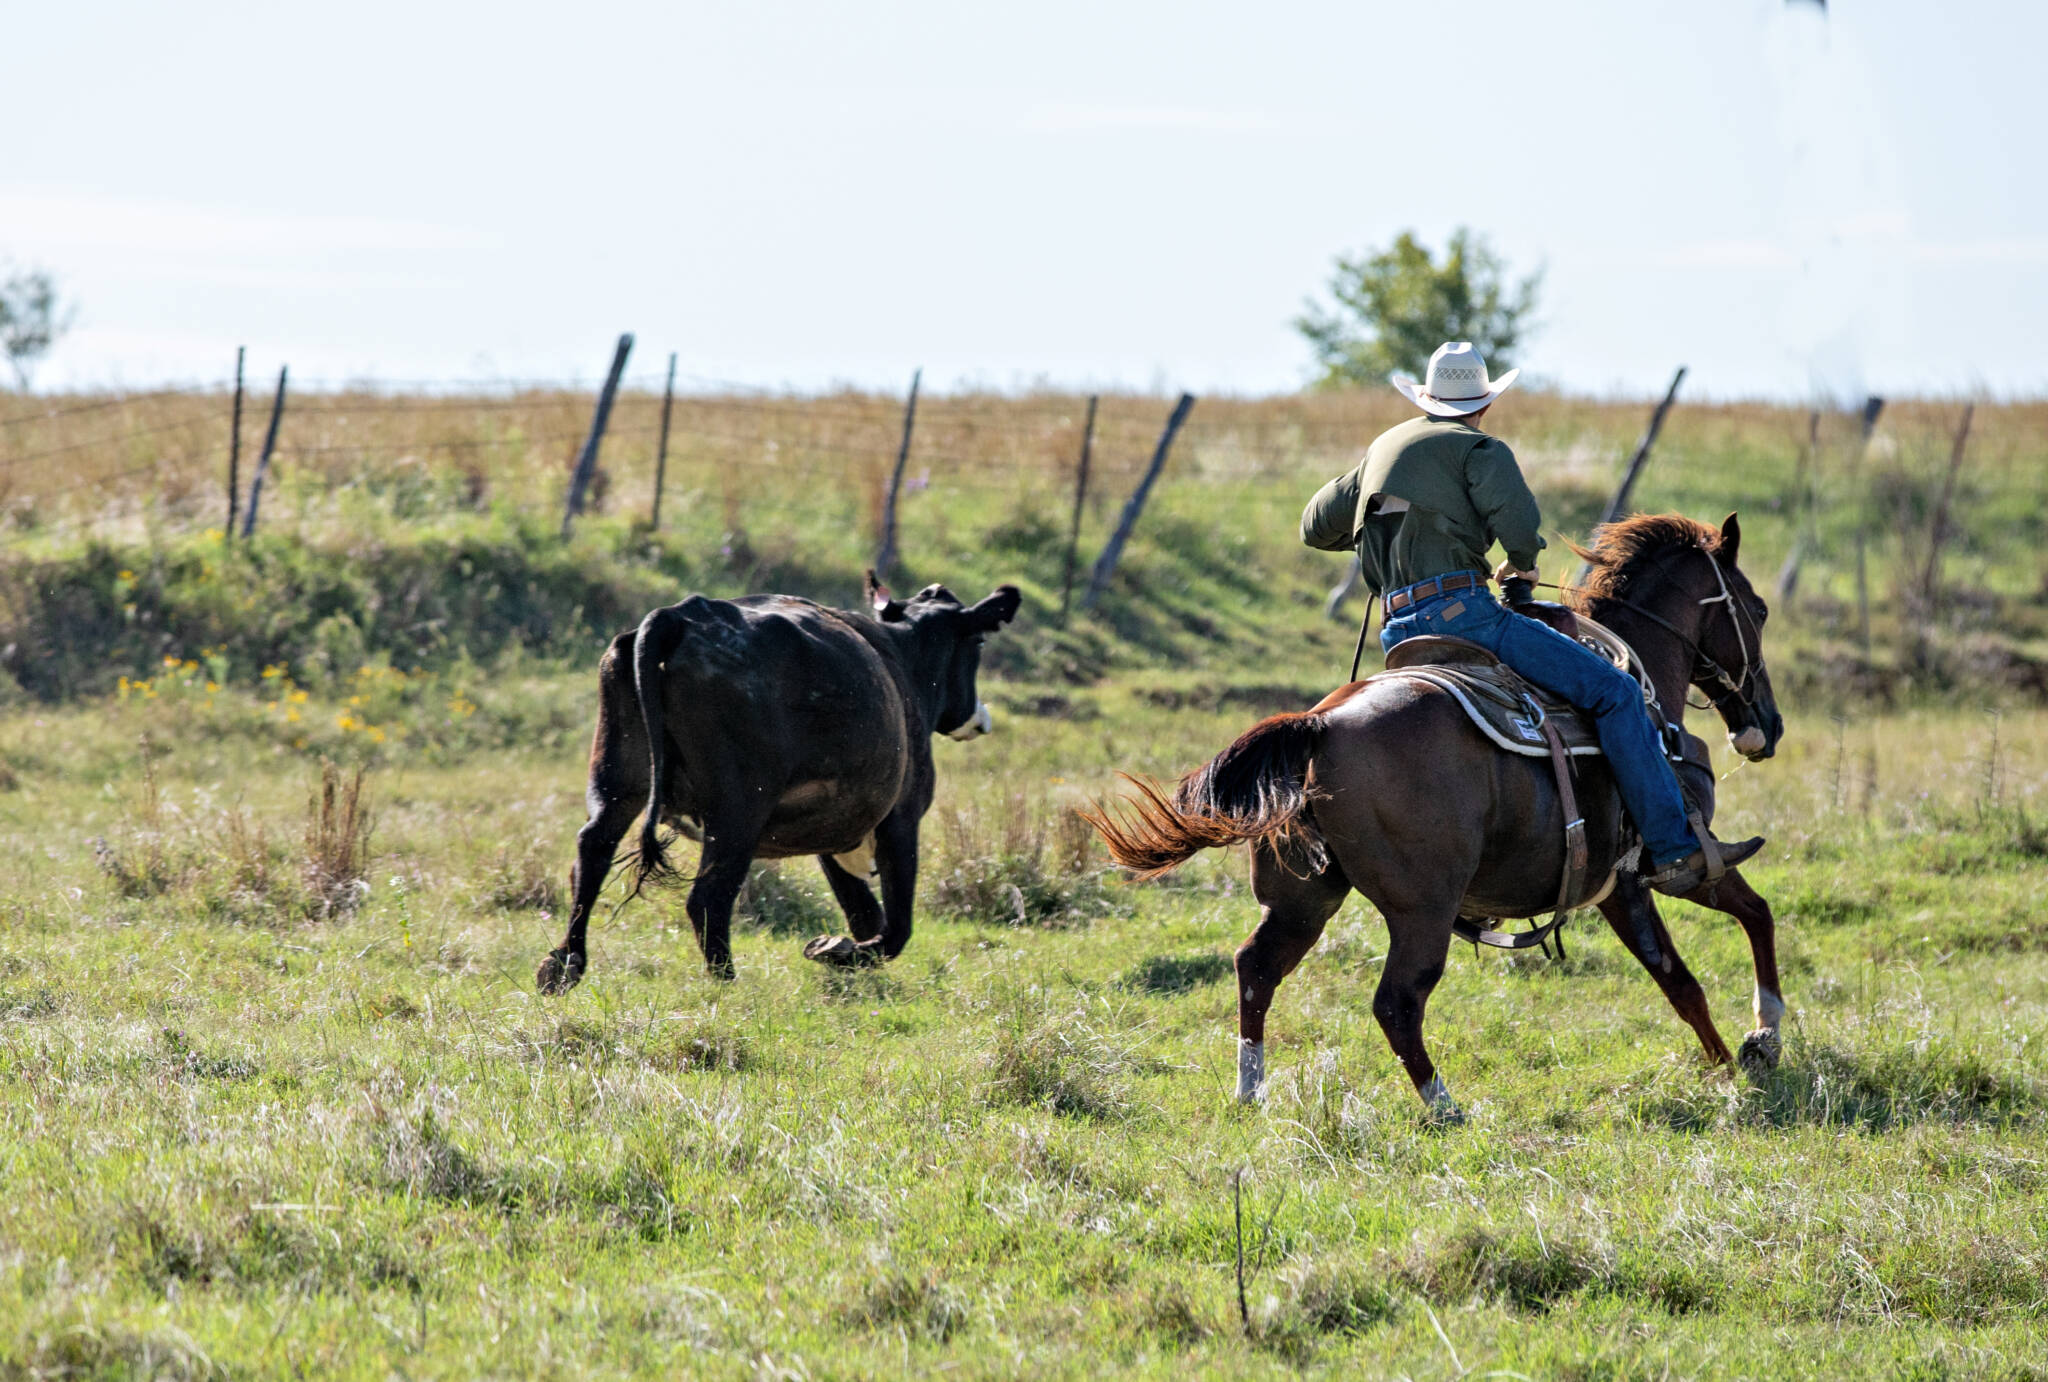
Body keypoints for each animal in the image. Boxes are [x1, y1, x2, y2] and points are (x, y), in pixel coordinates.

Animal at [535, 572, 1022, 991]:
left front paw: (847, 957)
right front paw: (836, 951)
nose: (980, 716)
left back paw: (563, 965)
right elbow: (896, 926)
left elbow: (864, 912)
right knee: (707, 897)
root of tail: (681, 613)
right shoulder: (902, 816)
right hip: (737, 810)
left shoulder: (836, 828)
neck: (903, 658)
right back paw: (728, 983)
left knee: (591, 854)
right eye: (979, 641)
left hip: (618, 780)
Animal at [1084, 513, 1787, 1118]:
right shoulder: (1656, 872)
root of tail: (1320, 725)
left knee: (1257, 968)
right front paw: (1747, 1054)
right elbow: (1695, 968)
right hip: (1422, 911)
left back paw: (1250, 1090)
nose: (1767, 726)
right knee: (1397, 1002)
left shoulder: (1629, 886)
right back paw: (1444, 1105)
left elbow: (1735, 931)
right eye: (1757, 609)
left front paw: (1752, 1045)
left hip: (1303, 899)